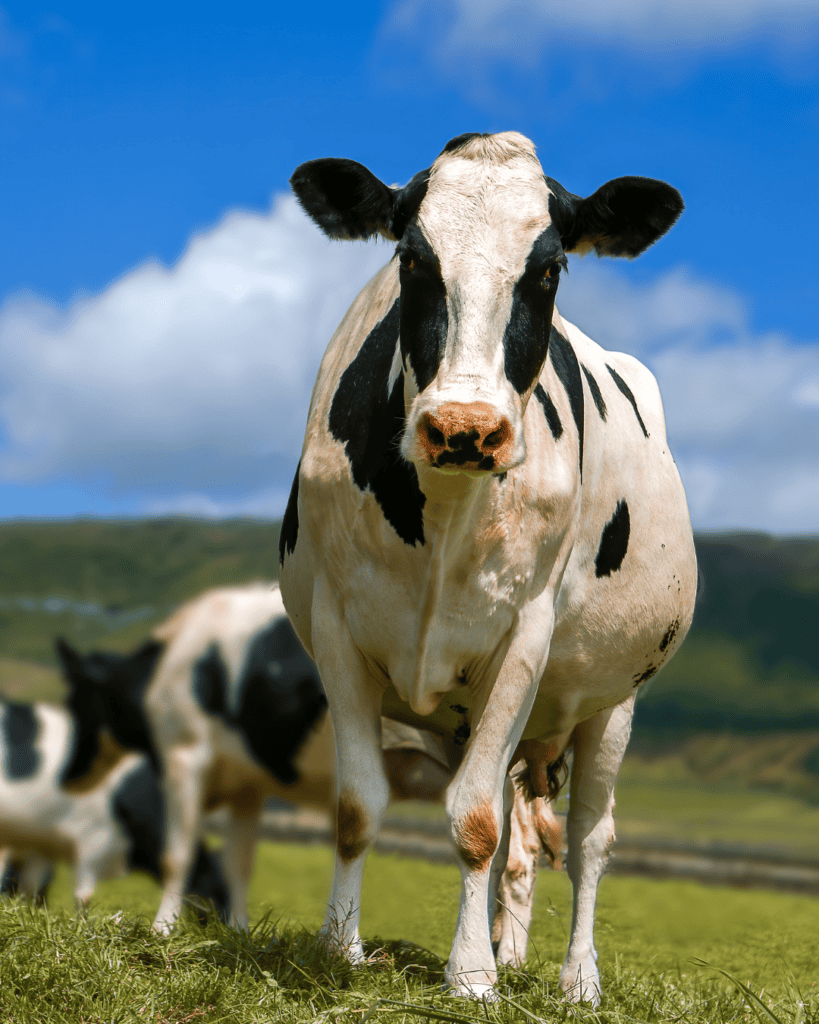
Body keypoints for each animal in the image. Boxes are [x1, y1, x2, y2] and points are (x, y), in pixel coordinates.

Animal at [0, 697, 228, 916]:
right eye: (221, 893)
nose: (227, 928)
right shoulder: (95, 840)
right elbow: (82, 897)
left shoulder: (43, 845)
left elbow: (30, 889)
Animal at [58, 584, 562, 951]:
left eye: (79, 700)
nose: (68, 776)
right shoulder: (247, 784)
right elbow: (240, 860)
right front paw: (237, 930)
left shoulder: (185, 755)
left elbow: (176, 853)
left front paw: (162, 929)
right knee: (516, 857)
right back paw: (506, 958)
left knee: (515, 860)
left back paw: (504, 959)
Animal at [280, 130, 697, 1003]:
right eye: (410, 258)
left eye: (549, 267)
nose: (464, 428)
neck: (443, 512)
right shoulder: (338, 631)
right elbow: (359, 805)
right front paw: (341, 947)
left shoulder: (522, 639)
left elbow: (473, 820)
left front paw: (469, 975)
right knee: (521, 833)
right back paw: (510, 949)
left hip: (613, 701)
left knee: (589, 837)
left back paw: (576, 979)